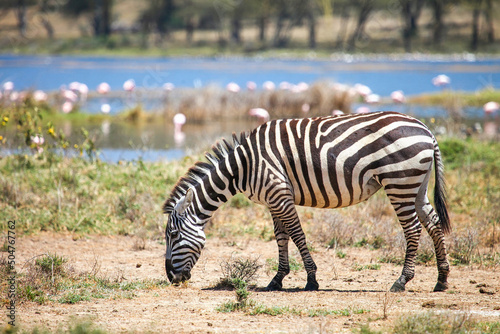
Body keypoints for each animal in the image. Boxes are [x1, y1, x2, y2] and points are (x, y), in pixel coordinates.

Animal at [162, 111, 452, 292]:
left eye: (173, 235)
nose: (171, 278)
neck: (242, 167)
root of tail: (426, 129)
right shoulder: (272, 199)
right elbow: (281, 237)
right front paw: (277, 279)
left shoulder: (279, 193)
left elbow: (297, 234)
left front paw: (311, 279)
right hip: (417, 185)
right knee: (433, 223)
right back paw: (441, 280)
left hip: (399, 182)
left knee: (413, 229)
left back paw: (402, 281)